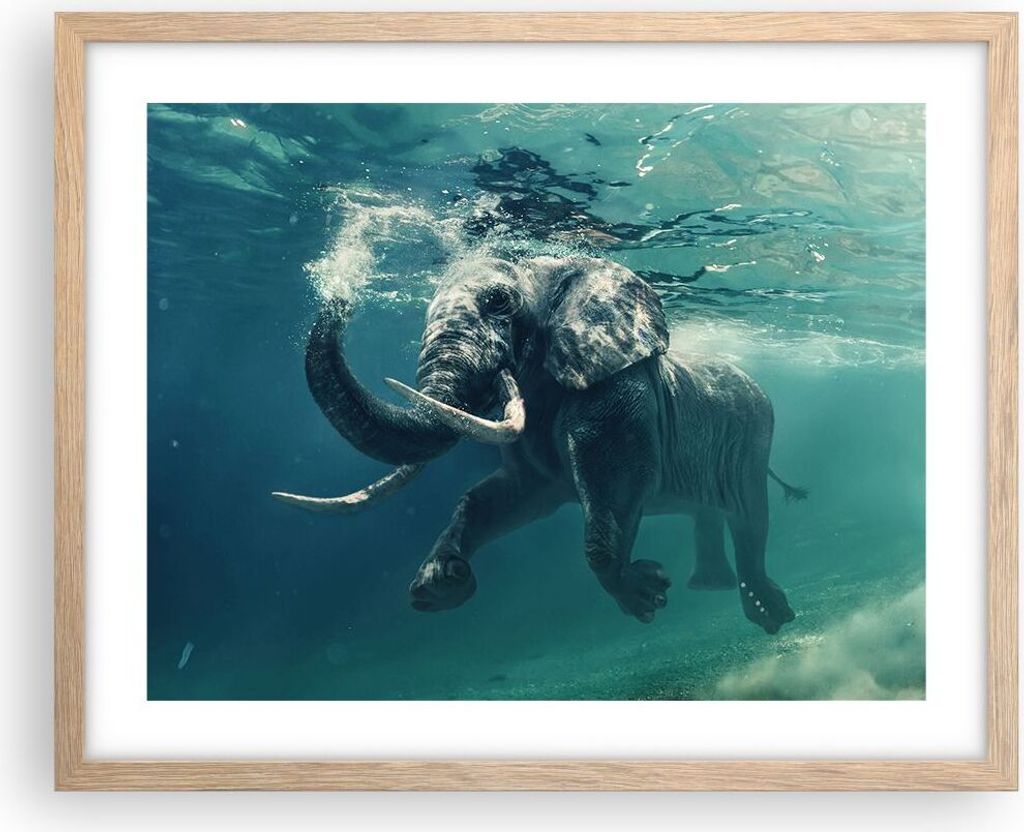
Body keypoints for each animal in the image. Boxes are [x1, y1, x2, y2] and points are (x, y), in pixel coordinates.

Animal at [273, 256, 806, 634]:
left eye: (499, 302)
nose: (340, 292)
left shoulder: (617, 394)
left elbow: (616, 486)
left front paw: (647, 595)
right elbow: (504, 496)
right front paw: (440, 585)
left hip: (755, 435)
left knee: (751, 517)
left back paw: (769, 615)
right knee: (711, 512)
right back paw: (711, 587)